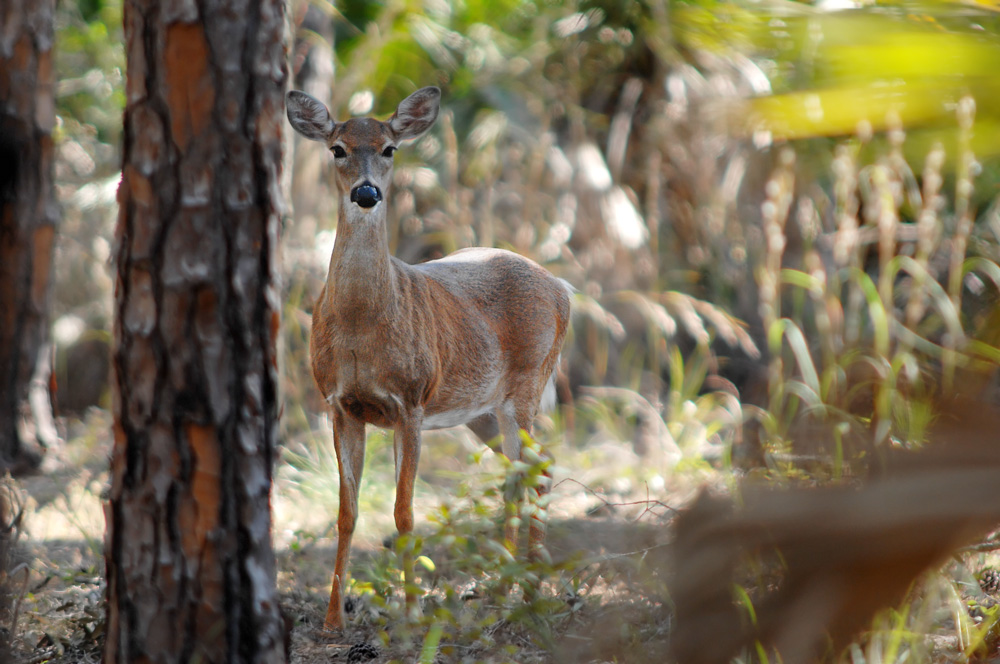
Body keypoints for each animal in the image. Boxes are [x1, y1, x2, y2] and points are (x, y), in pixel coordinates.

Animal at [288, 85, 572, 632]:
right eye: (337, 149)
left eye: (389, 148)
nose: (367, 193)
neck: (360, 330)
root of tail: (562, 287)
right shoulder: (339, 404)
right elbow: (347, 512)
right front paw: (334, 620)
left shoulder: (411, 400)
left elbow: (403, 511)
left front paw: (413, 613)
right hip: (482, 410)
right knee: (517, 471)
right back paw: (505, 588)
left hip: (529, 380)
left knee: (540, 467)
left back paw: (532, 588)